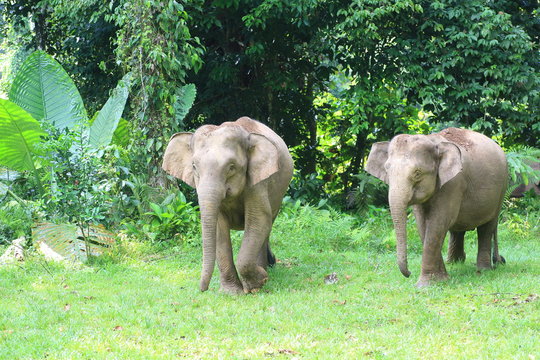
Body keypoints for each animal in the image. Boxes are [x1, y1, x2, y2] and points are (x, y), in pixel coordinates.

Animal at [161, 116, 294, 294]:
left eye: (231, 167)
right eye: (194, 166)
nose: (202, 289)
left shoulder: (258, 183)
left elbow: (258, 220)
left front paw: (258, 283)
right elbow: (219, 228)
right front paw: (231, 292)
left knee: (267, 225)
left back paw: (265, 268)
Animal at [364, 127, 508, 286]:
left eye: (417, 173)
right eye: (387, 170)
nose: (409, 273)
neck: (432, 141)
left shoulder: (454, 183)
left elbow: (438, 222)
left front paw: (426, 284)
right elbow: (423, 224)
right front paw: (441, 278)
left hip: (501, 190)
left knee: (487, 227)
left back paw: (483, 270)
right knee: (458, 229)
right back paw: (455, 262)